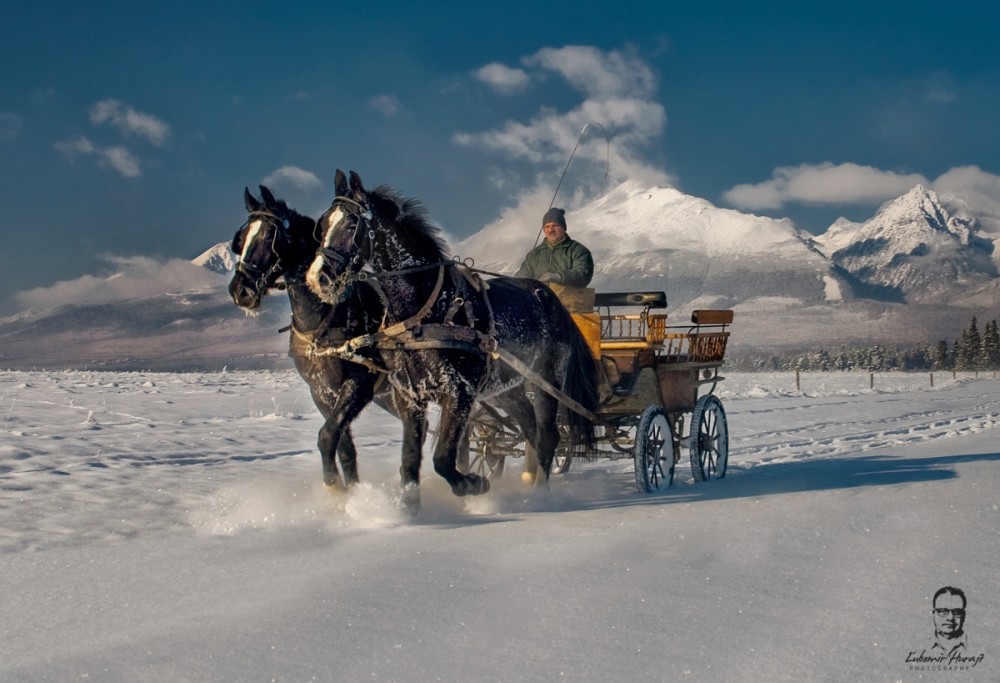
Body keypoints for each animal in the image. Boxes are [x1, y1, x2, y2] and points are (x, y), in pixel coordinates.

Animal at [230, 184, 422, 488]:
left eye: (269, 236)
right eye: (242, 237)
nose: (240, 290)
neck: (325, 317)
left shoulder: (359, 384)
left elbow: (328, 435)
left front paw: (335, 488)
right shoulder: (321, 392)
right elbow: (344, 448)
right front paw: (349, 492)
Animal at [308, 171, 596, 500]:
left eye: (351, 224)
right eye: (322, 224)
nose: (318, 277)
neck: (426, 309)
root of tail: (554, 301)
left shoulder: (459, 392)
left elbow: (444, 459)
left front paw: (474, 483)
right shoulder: (409, 395)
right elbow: (410, 461)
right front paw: (407, 506)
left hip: (548, 381)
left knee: (548, 437)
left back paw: (541, 494)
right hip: (508, 389)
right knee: (531, 431)